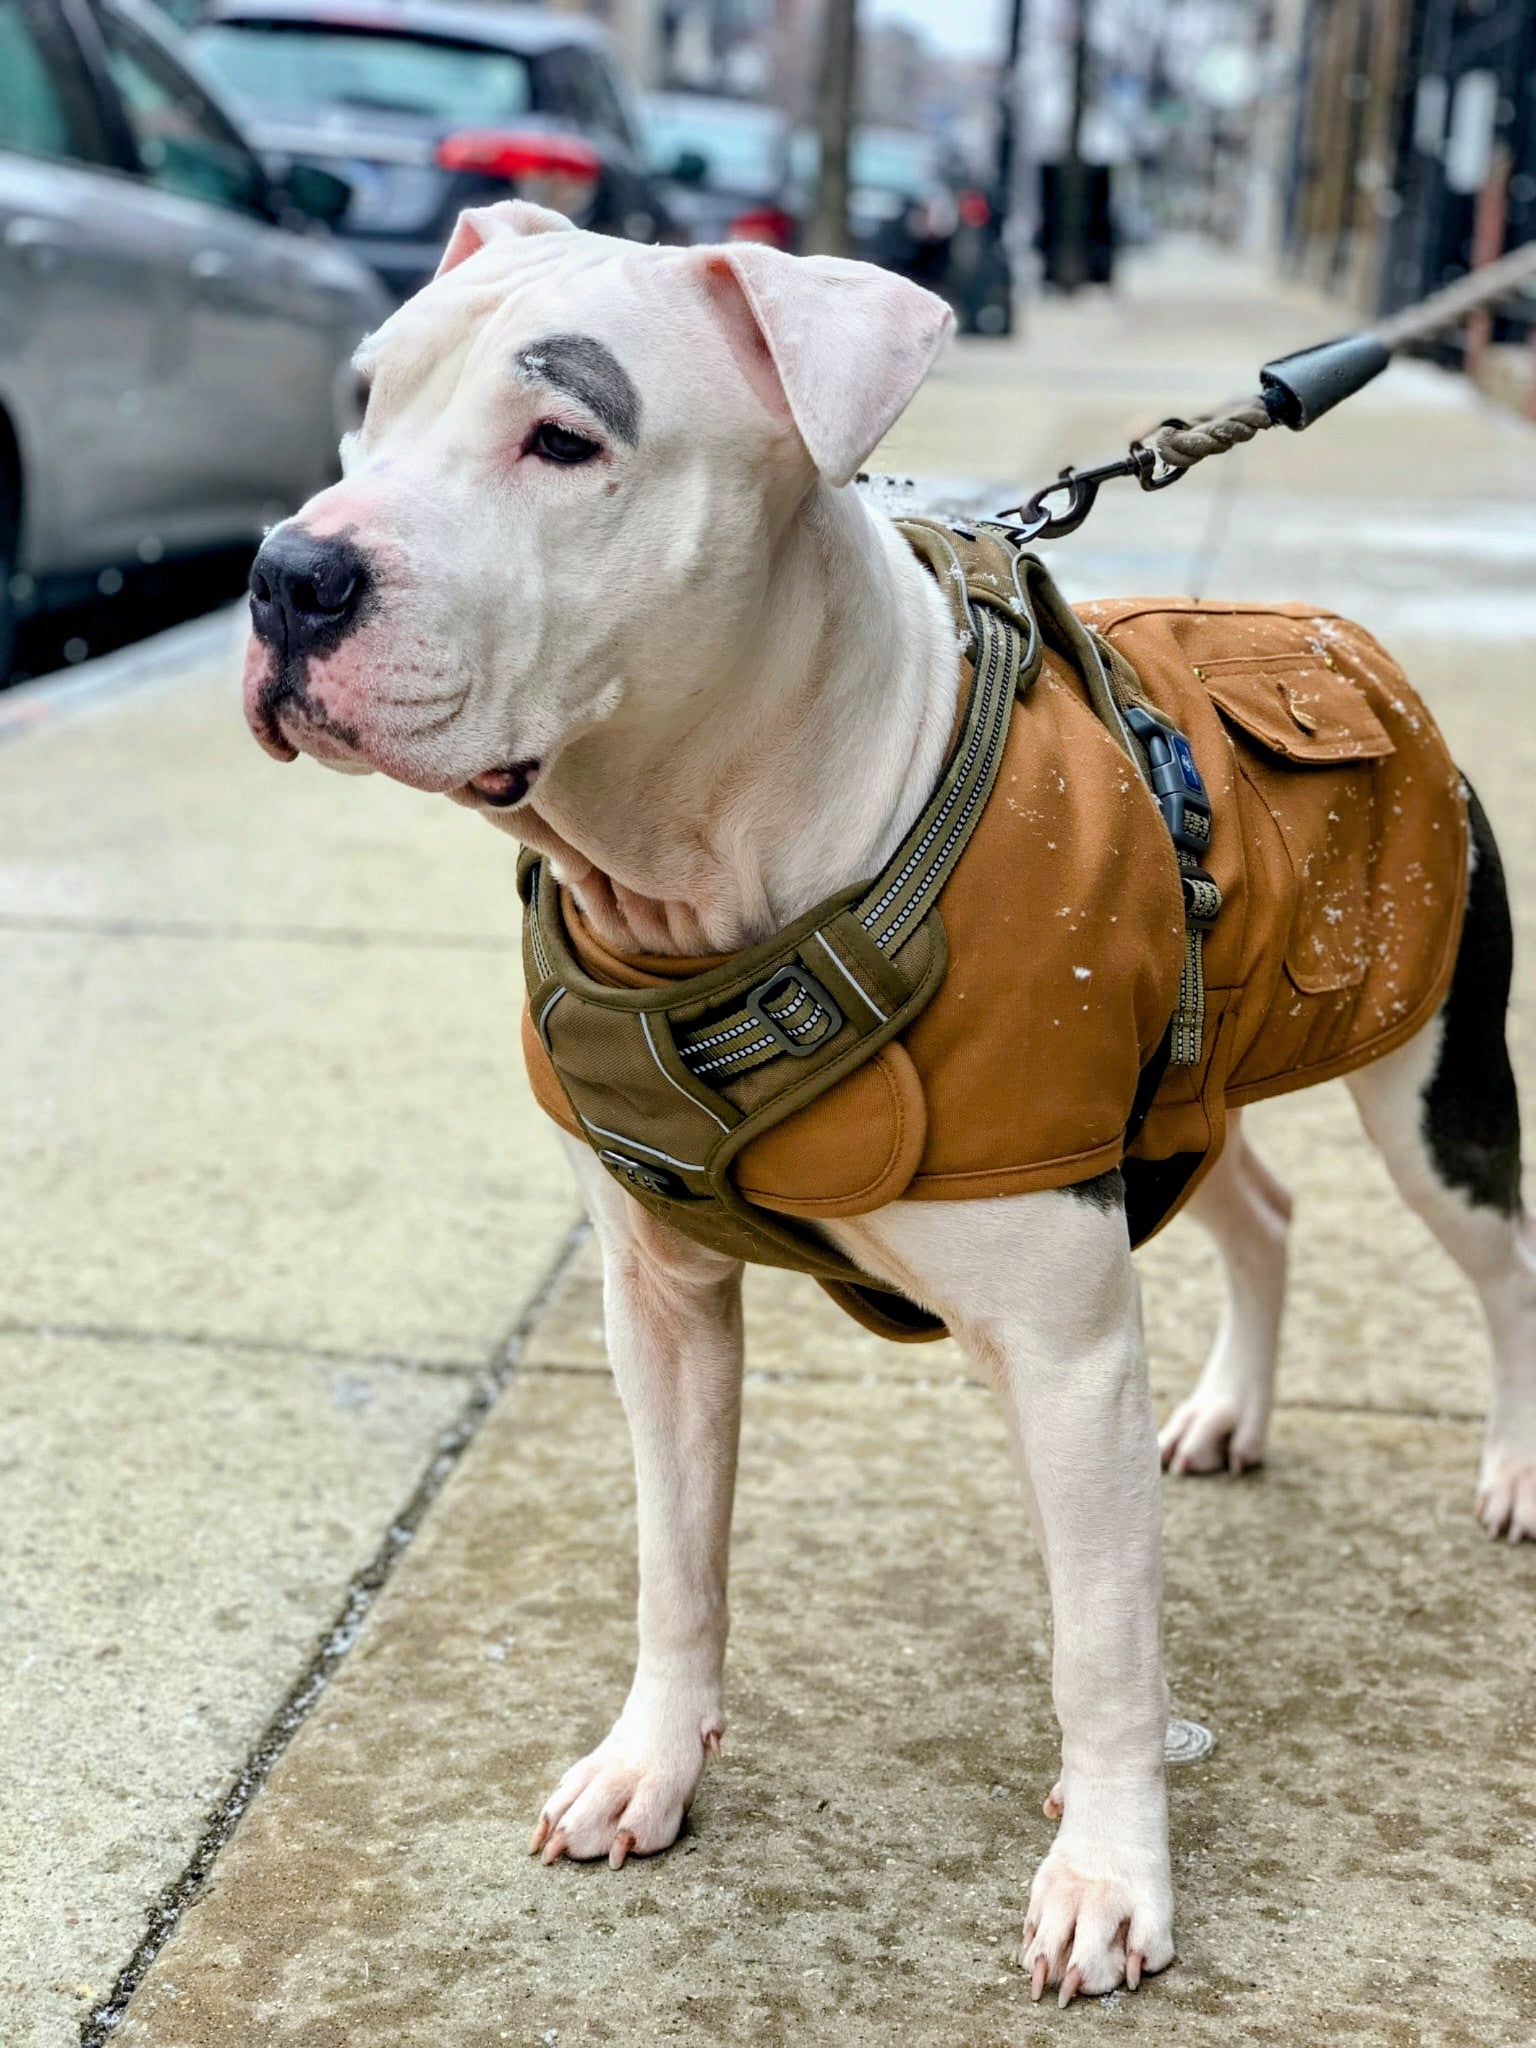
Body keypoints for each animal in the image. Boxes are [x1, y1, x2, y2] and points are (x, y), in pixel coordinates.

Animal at [242, 200, 1536, 2005]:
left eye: (563, 439)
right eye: (366, 401)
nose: (288, 573)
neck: (727, 870)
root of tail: (1358, 652)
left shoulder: (1065, 1343)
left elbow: (1105, 1643)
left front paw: (1110, 1871)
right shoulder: (662, 1302)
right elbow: (676, 1562)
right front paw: (652, 1764)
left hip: (1427, 1089)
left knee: (1503, 1262)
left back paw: (1516, 1468)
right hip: (1186, 1093)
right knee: (1266, 1215)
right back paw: (1229, 1413)